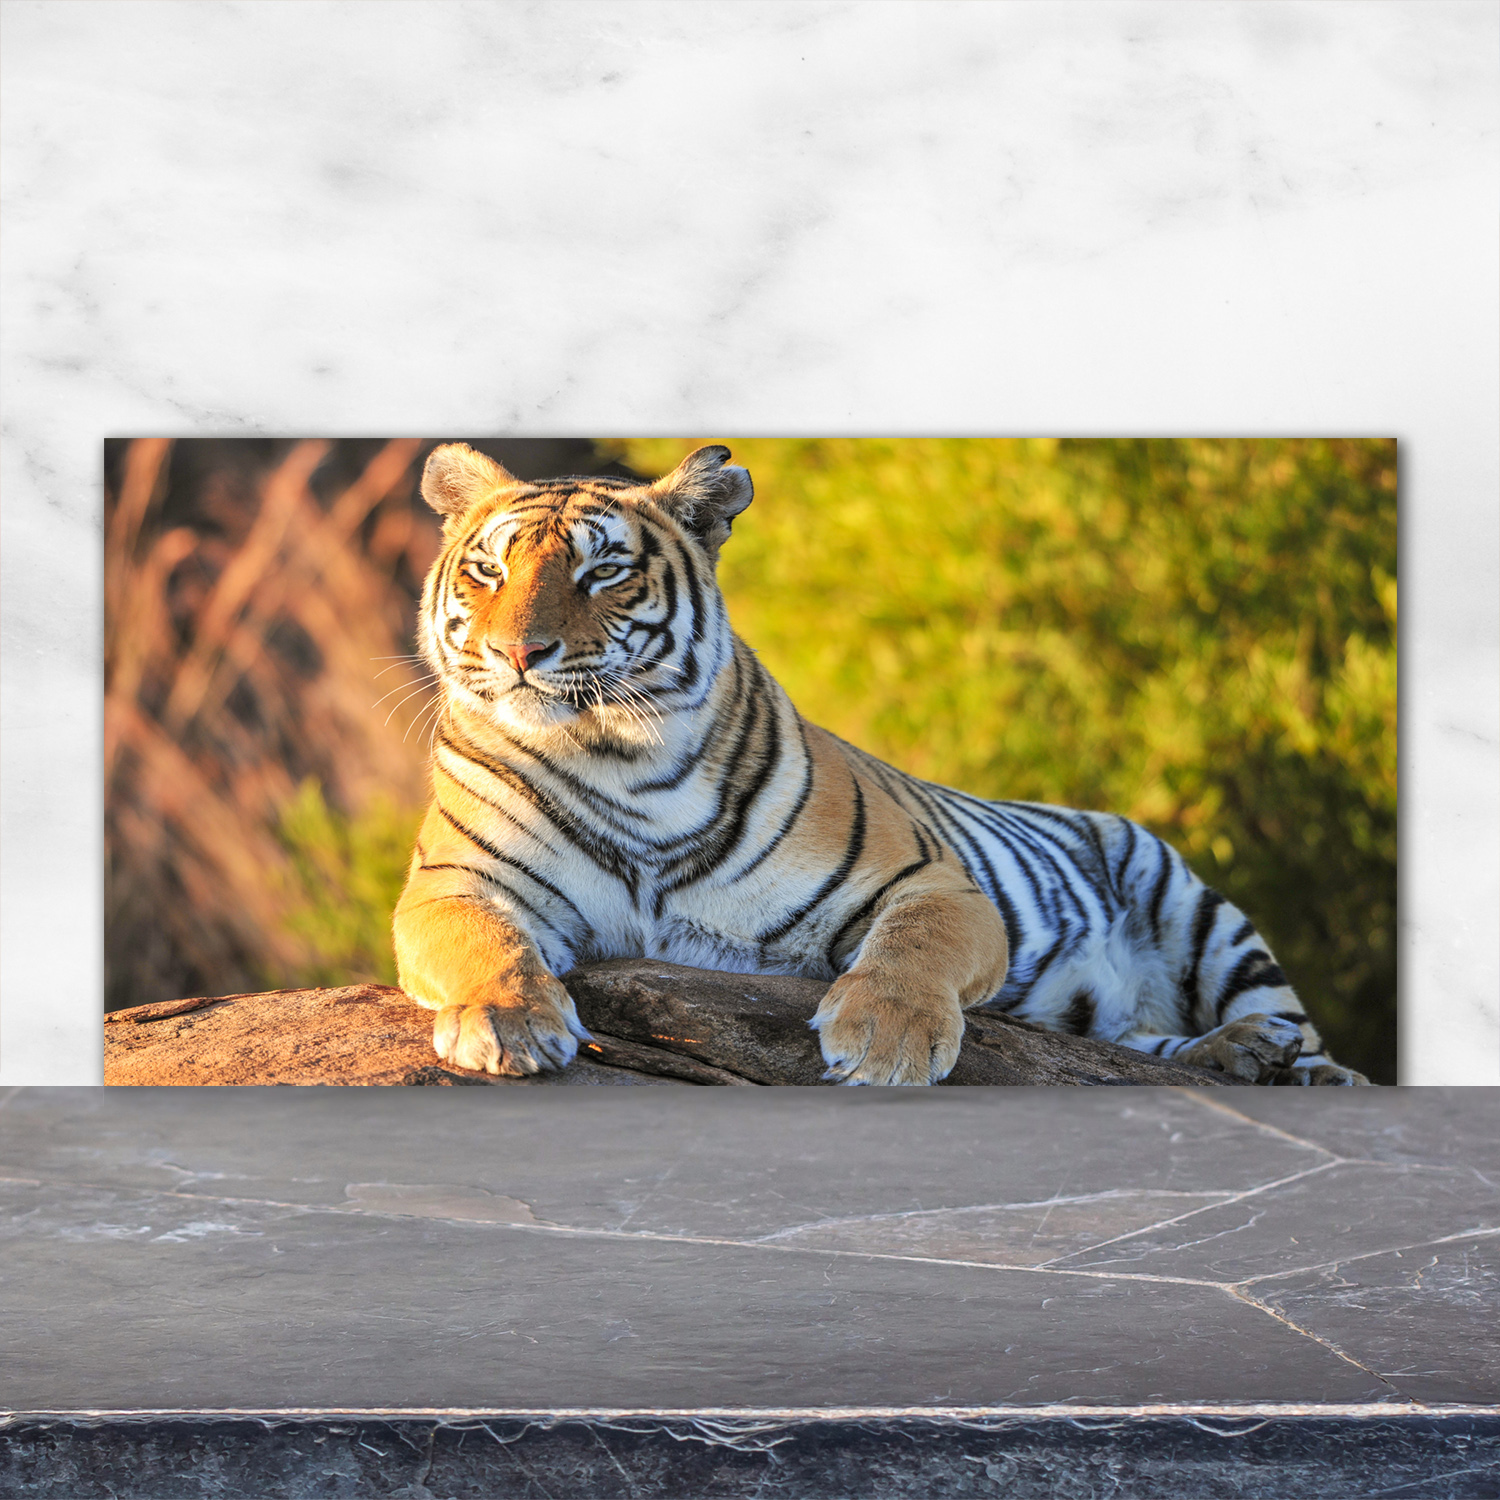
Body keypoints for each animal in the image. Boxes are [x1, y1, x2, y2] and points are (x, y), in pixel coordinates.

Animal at [393, 442, 1370, 1087]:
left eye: (603, 573)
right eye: (487, 573)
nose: (518, 653)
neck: (617, 761)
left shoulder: (933, 883)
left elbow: (911, 948)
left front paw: (886, 1041)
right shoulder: (453, 884)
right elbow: (484, 943)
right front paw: (509, 1023)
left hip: (1200, 911)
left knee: (1293, 1029)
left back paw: (1299, 1066)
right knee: (1136, 1043)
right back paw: (1240, 1058)